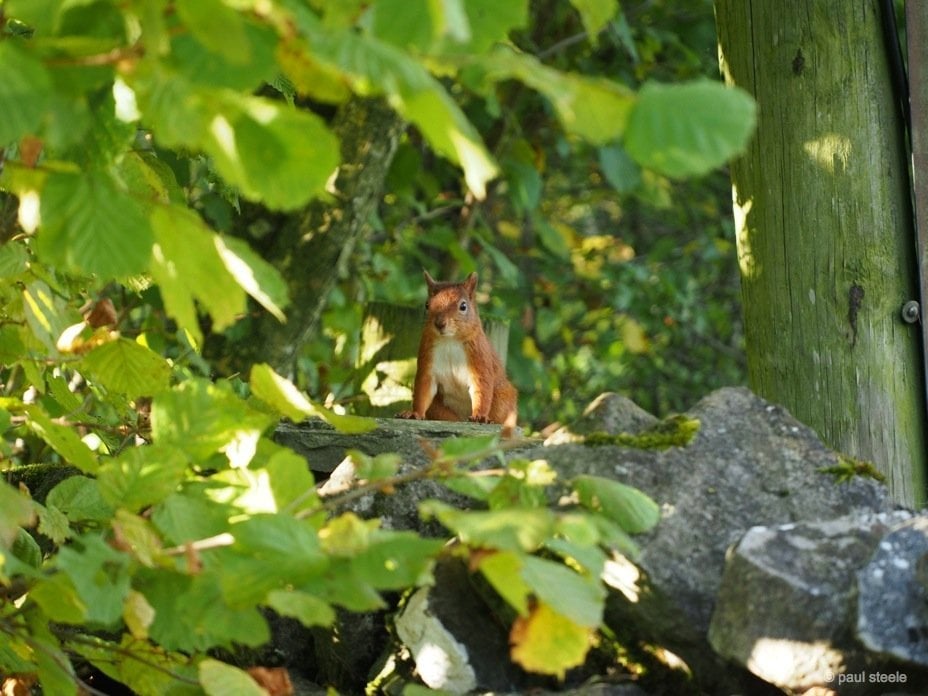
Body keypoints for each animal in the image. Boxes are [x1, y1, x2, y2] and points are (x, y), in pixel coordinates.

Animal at [396, 272, 520, 430]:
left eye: (463, 306)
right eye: (427, 305)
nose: (439, 324)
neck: (450, 340)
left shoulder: (479, 359)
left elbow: (482, 388)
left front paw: (480, 416)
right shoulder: (427, 360)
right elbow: (423, 390)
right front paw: (415, 413)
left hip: (503, 398)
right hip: (438, 409)